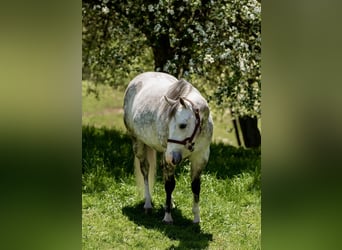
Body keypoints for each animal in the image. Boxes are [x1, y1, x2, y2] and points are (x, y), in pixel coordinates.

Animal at [124, 71, 212, 224]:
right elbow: (169, 185)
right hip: (139, 144)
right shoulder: (169, 157)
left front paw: (196, 219)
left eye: (182, 125)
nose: (171, 157)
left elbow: (195, 187)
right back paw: (148, 204)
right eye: (168, 124)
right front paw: (167, 217)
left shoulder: (200, 158)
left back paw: (169, 203)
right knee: (145, 170)